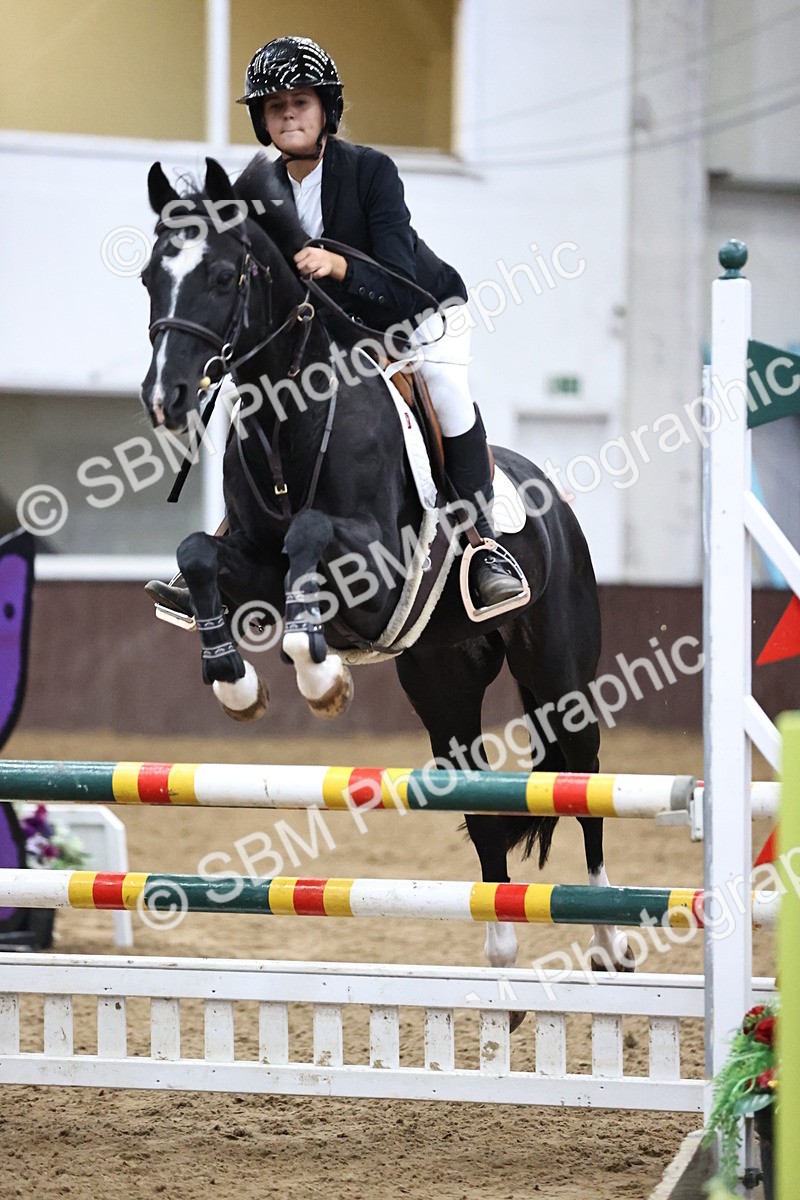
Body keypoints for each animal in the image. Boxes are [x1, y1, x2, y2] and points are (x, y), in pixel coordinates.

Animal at [139, 155, 631, 988]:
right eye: (149, 277)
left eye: (221, 274)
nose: (164, 398)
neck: (291, 414)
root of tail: (551, 498)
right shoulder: (253, 566)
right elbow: (199, 554)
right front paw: (238, 683)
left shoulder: (379, 574)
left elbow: (310, 539)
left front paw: (319, 676)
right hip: (443, 681)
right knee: (476, 794)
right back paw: (501, 954)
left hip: (560, 672)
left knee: (583, 775)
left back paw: (607, 935)